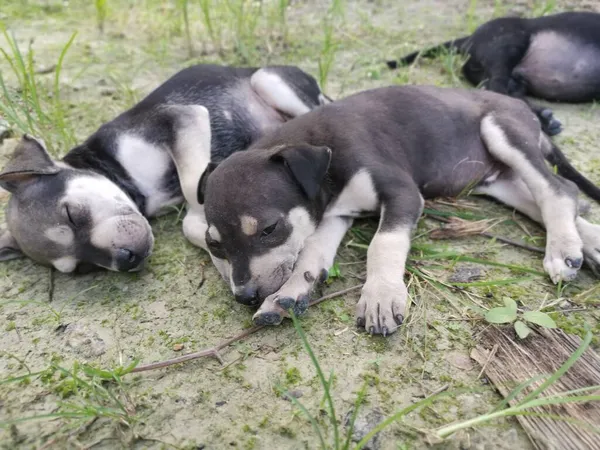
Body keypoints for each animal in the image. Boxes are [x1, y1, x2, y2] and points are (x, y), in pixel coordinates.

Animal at [0, 64, 328, 272]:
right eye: (81, 267)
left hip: (268, 81)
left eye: (72, 215)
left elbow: (193, 186)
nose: (126, 260)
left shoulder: (183, 119)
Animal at [198, 86, 600, 336]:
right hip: (498, 181)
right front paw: (290, 294)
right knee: (543, 200)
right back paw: (589, 243)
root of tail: (525, 109)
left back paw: (564, 249)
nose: (244, 296)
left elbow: (383, 244)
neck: (325, 157)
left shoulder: (403, 194)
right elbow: (311, 253)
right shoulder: (335, 214)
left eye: (269, 229)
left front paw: (381, 296)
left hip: (502, 132)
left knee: (559, 191)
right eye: (214, 245)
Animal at [386, 11, 600, 135]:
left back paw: (542, 117)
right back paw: (542, 119)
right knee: (497, 87)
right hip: (508, 44)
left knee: (504, 90)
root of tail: (469, 38)